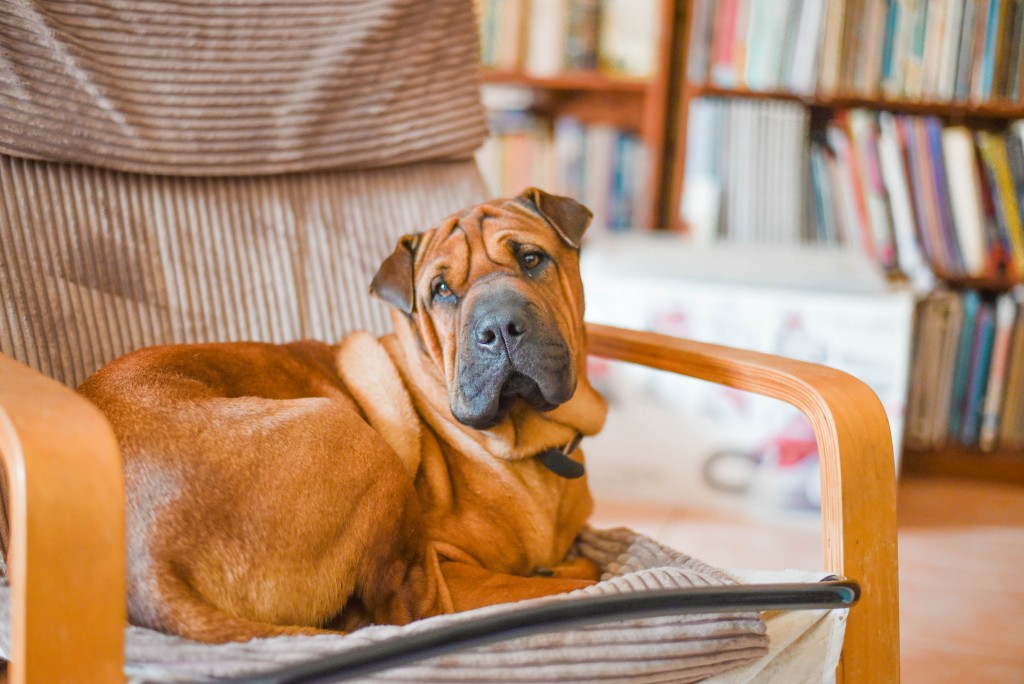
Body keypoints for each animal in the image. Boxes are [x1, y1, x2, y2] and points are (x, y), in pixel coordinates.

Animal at [81, 185, 606, 643]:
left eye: (531, 259)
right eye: (441, 290)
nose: (499, 327)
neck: (528, 442)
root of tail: (149, 570)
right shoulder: (461, 572)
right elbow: (562, 582)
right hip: (350, 434)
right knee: (412, 610)